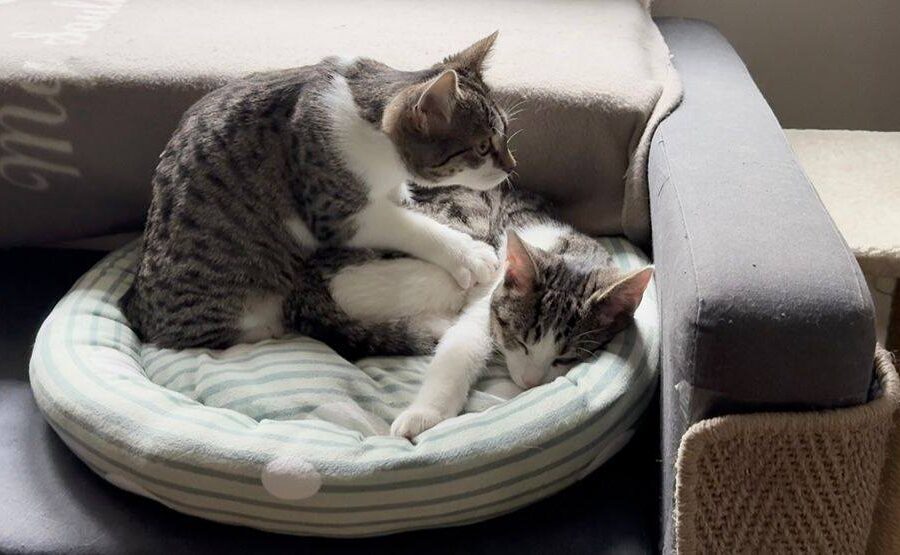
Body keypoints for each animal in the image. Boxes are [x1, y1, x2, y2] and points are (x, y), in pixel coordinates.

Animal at [122, 32, 515, 350]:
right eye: (482, 148)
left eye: (506, 134)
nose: (511, 166)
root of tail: (138, 308)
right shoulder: (335, 212)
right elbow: (407, 225)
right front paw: (466, 253)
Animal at [286, 184, 653, 438]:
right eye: (520, 342)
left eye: (565, 358)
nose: (529, 382)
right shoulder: (489, 292)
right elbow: (462, 345)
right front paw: (425, 415)